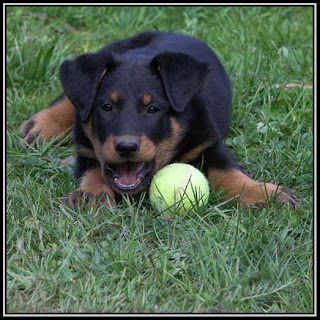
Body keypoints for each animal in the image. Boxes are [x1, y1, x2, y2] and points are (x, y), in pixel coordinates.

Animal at [20, 31, 298, 208]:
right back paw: (41, 126)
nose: (126, 147)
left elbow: (229, 171)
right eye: (107, 107)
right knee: (72, 97)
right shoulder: (85, 149)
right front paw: (92, 193)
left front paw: (262, 193)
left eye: (153, 109)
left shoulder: (208, 142)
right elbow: (95, 168)